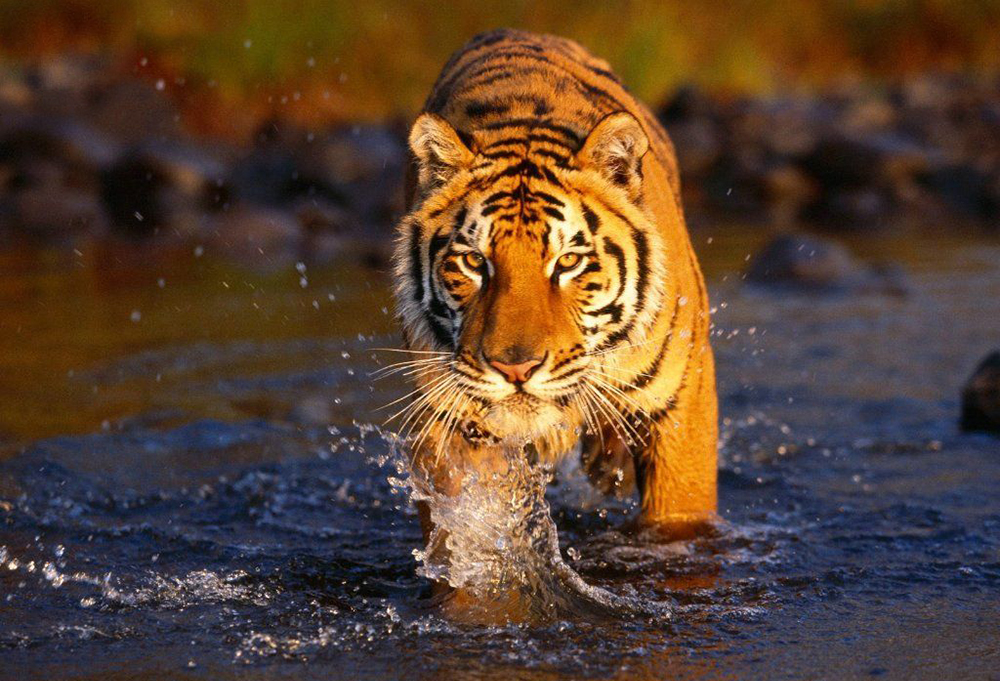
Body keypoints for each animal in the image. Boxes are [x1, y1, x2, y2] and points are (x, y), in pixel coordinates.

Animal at [390, 28, 717, 552]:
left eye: (567, 262)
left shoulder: (682, 403)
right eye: (474, 262)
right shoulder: (450, 422)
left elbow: (678, 518)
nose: (515, 369)